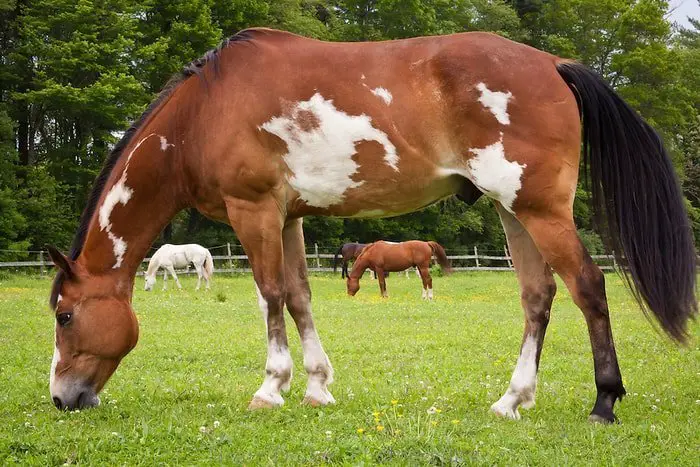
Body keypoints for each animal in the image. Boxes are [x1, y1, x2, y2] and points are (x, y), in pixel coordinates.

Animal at [45, 28, 696, 424]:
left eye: (65, 315)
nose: (62, 398)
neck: (206, 110)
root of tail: (554, 65)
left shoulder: (254, 209)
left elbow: (269, 296)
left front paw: (270, 388)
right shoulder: (288, 216)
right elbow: (300, 298)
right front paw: (316, 387)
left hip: (540, 210)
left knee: (590, 287)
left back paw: (604, 401)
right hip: (513, 210)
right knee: (538, 298)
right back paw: (512, 400)